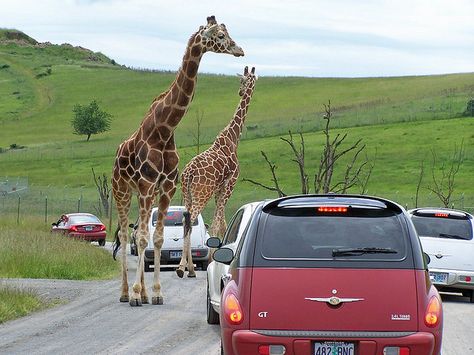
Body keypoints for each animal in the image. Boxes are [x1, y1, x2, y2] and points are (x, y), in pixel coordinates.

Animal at [111, 16, 244, 306]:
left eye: (227, 32)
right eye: (219, 35)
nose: (239, 49)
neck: (164, 129)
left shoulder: (167, 187)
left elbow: (158, 238)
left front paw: (156, 293)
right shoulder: (147, 185)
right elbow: (141, 237)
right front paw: (137, 293)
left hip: (143, 193)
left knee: (140, 232)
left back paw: (143, 292)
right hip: (122, 190)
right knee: (126, 234)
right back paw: (126, 293)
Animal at [178, 66, 258, 278]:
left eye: (244, 80)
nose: (240, 92)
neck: (233, 137)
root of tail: (188, 174)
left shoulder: (219, 189)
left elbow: (219, 222)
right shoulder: (230, 184)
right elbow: (218, 223)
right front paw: (215, 259)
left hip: (187, 194)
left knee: (186, 221)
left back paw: (189, 268)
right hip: (201, 193)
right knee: (191, 222)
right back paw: (182, 268)